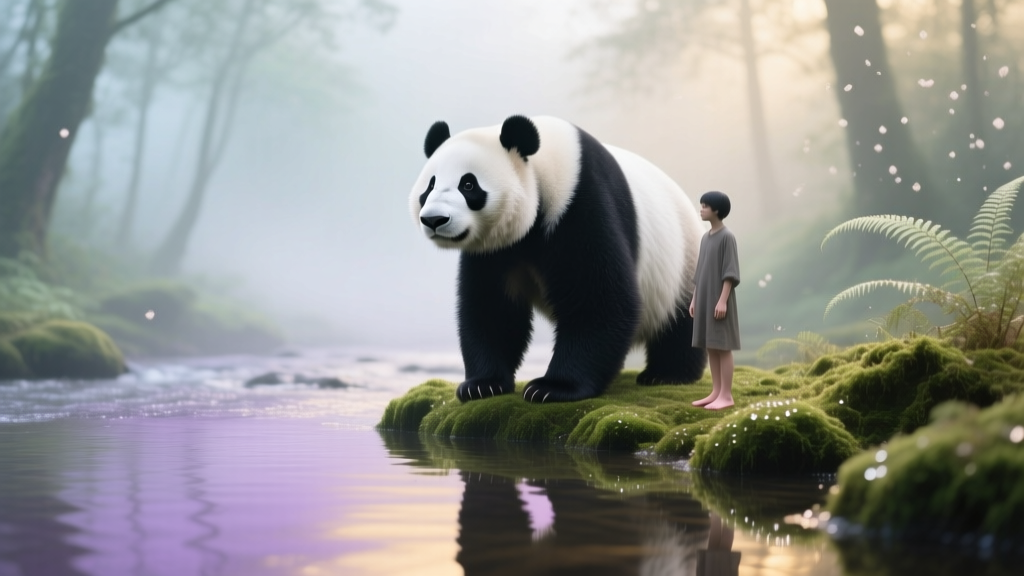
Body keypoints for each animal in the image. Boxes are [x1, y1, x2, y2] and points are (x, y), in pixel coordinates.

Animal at [410, 114, 706, 403]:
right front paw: (482, 385)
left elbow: (600, 298)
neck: (544, 165)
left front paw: (553, 387)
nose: (434, 220)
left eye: (468, 184)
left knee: (682, 323)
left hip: (683, 261)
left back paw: (666, 374)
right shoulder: (494, 249)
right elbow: (492, 307)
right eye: (430, 185)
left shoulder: (581, 202)